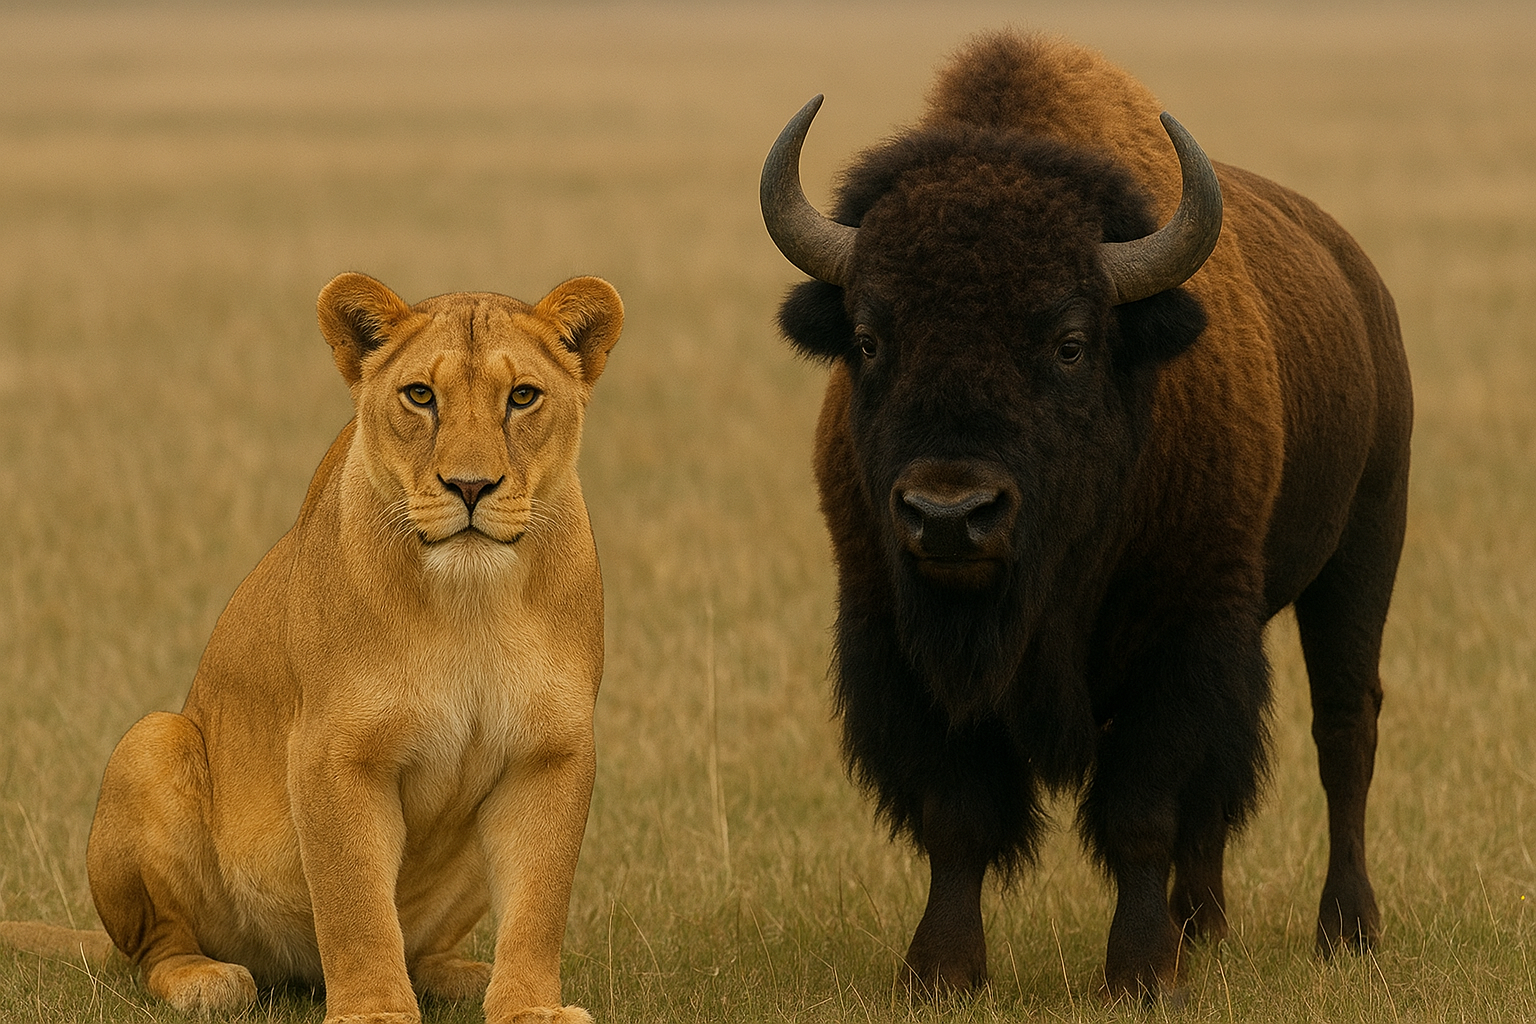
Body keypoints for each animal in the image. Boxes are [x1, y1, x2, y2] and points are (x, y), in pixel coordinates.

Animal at [1, 272, 622, 1024]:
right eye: (421, 395)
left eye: (523, 397)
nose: (470, 486)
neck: (470, 601)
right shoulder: (333, 751)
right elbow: (354, 901)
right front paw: (376, 1011)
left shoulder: (551, 752)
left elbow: (538, 904)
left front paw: (528, 1008)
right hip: (151, 743)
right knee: (155, 949)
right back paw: (206, 980)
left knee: (422, 946)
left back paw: (461, 977)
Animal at [760, 32, 1410, 999]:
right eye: (870, 339)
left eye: (1069, 342)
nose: (949, 514)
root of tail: (1361, 282)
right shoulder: (900, 638)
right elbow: (958, 814)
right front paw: (942, 972)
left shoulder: (1181, 636)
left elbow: (1144, 808)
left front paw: (1142, 976)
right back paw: (1202, 926)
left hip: (1362, 553)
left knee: (1344, 731)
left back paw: (1346, 930)